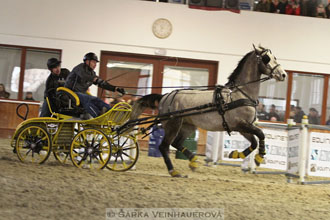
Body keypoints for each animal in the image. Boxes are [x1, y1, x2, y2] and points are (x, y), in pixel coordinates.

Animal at [129, 45, 286, 178]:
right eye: (267, 58)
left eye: (274, 57)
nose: (283, 74)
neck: (241, 93)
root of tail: (165, 96)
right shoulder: (241, 124)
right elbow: (260, 134)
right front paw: (260, 157)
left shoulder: (242, 127)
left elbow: (254, 142)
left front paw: (235, 154)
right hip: (173, 124)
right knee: (164, 146)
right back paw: (174, 171)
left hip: (187, 126)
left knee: (176, 143)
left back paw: (193, 161)